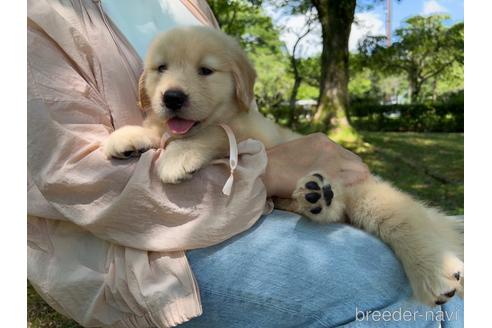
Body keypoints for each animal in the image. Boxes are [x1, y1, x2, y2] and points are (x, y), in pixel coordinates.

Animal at [102, 26, 464, 308]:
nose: (172, 98)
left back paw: (437, 271)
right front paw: (125, 138)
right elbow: (155, 128)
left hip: (372, 196)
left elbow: (213, 133)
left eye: (205, 70)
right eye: (160, 68)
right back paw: (318, 195)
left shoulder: (251, 132)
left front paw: (177, 156)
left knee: (406, 222)